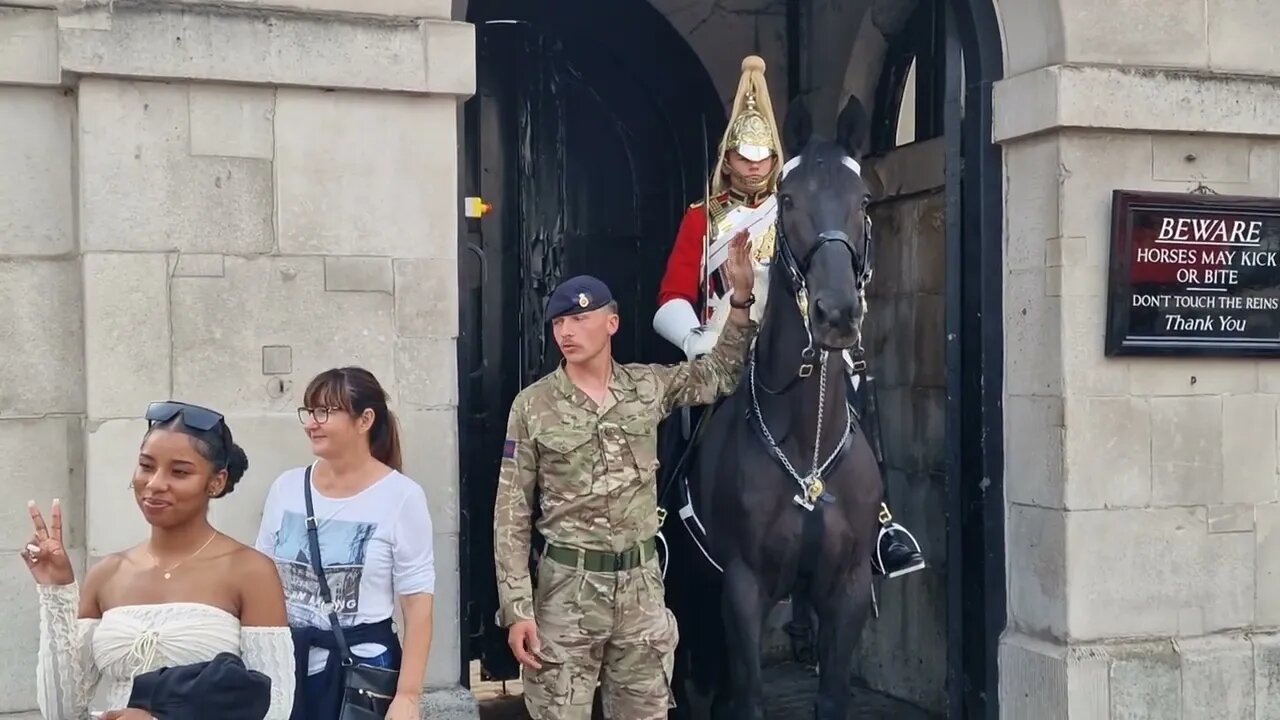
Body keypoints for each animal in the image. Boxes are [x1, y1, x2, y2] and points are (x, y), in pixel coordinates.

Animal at [660, 96, 880, 717]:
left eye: (863, 199)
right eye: (789, 199)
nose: (836, 314)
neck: (805, 444)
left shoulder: (848, 588)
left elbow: (832, 698)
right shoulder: (743, 588)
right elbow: (749, 699)